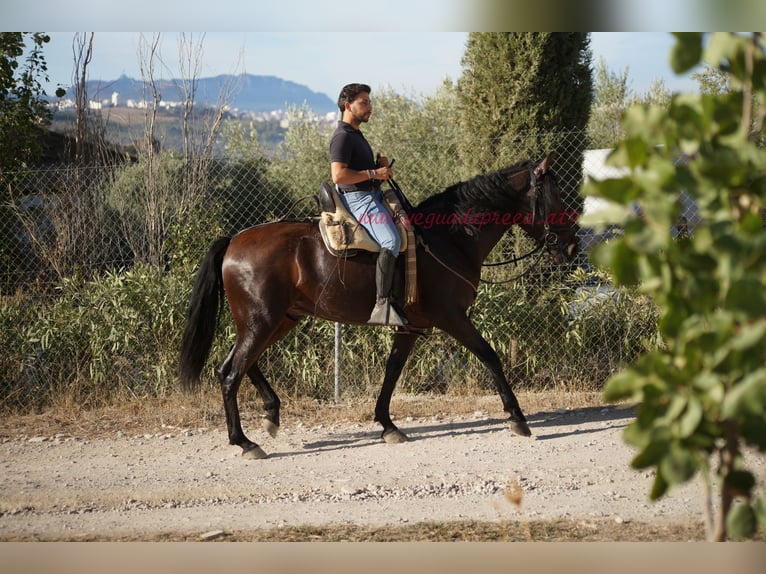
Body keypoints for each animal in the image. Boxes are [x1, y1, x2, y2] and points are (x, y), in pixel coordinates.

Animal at [179, 156, 578, 459]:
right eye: (556, 199)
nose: (572, 246)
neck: (448, 238)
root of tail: (234, 241)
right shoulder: (452, 317)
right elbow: (490, 356)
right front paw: (517, 417)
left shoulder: (412, 325)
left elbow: (392, 371)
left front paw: (387, 424)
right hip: (261, 322)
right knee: (230, 372)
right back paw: (245, 442)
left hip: (279, 320)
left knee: (243, 364)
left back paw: (271, 415)